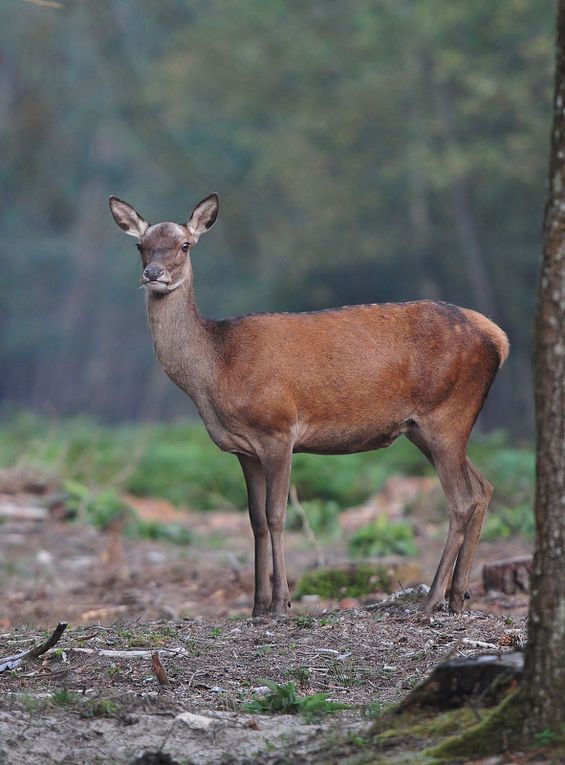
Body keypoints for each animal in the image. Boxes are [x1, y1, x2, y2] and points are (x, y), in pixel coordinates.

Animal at [109, 194, 506, 616]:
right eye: (140, 245)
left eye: (185, 245)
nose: (153, 273)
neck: (216, 371)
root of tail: (499, 337)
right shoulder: (243, 449)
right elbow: (254, 519)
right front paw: (257, 607)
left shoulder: (278, 431)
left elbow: (277, 515)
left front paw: (282, 603)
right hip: (429, 429)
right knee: (483, 488)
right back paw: (456, 596)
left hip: (446, 415)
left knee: (462, 500)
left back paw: (431, 600)